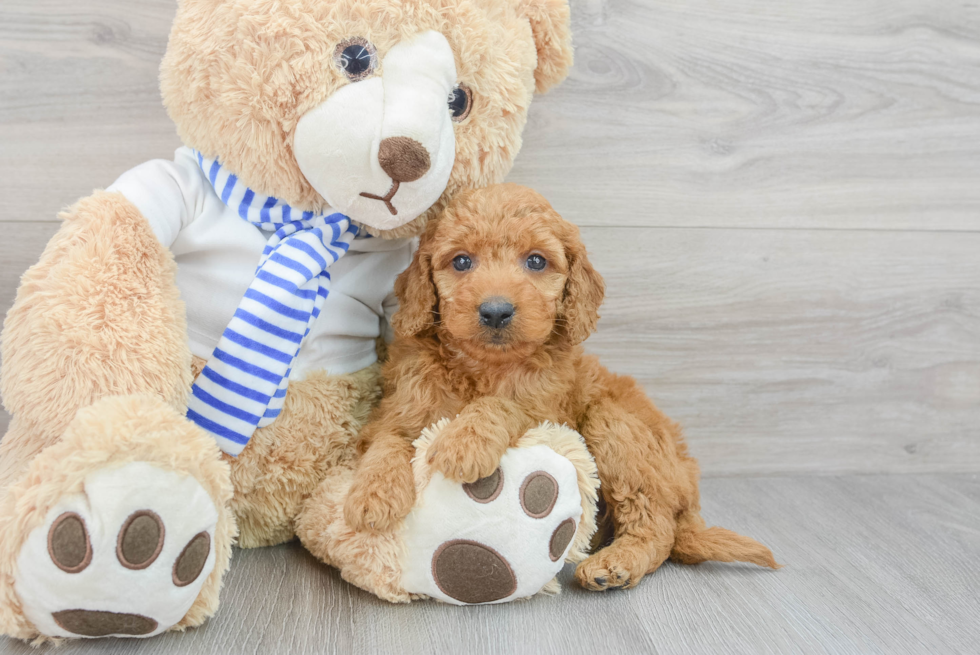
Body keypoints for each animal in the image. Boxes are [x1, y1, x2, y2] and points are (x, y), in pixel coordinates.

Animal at [346, 183, 780, 588]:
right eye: (461, 261)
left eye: (536, 261)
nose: (496, 311)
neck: (486, 367)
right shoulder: (402, 407)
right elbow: (386, 440)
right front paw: (372, 495)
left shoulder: (547, 411)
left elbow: (503, 405)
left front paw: (465, 442)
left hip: (614, 427)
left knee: (657, 526)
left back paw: (616, 564)